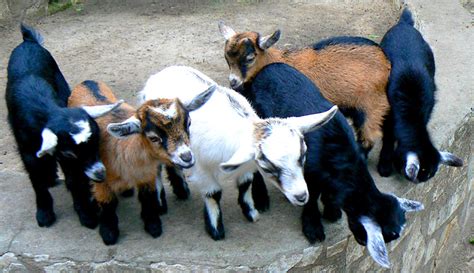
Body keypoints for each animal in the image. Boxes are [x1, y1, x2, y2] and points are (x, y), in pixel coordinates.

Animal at [5, 25, 120, 230]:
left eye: (97, 142)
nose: (100, 173)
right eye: (70, 152)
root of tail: (28, 40)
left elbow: (74, 180)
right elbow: (37, 179)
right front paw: (44, 214)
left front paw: (85, 214)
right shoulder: (28, 151)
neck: (44, 109)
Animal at [67, 79, 215, 243]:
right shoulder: (100, 178)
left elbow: (147, 198)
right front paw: (108, 232)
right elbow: (107, 203)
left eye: (188, 123)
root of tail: (86, 82)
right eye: (153, 137)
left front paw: (153, 226)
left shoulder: (146, 176)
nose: (187, 157)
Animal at [139, 65, 338, 239]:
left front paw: (250, 212)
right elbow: (213, 194)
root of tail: (161, 73)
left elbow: (245, 184)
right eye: (268, 167)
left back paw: (181, 191)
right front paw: (215, 229)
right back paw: (161, 202)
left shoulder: (246, 164)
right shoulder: (201, 167)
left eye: (302, 156)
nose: (301, 196)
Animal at [220, 21, 390, 153]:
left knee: (369, 138)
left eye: (250, 58)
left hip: (370, 106)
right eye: (226, 57)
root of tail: (385, 60)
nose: (233, 81)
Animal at [243, 62, 424, 266]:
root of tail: (265, 69)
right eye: (368, 236)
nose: (361, 242)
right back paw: (261, 198)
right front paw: (313, 228)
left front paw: (332, 211)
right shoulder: (308, 172)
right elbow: (310, 197)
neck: (339, 157)